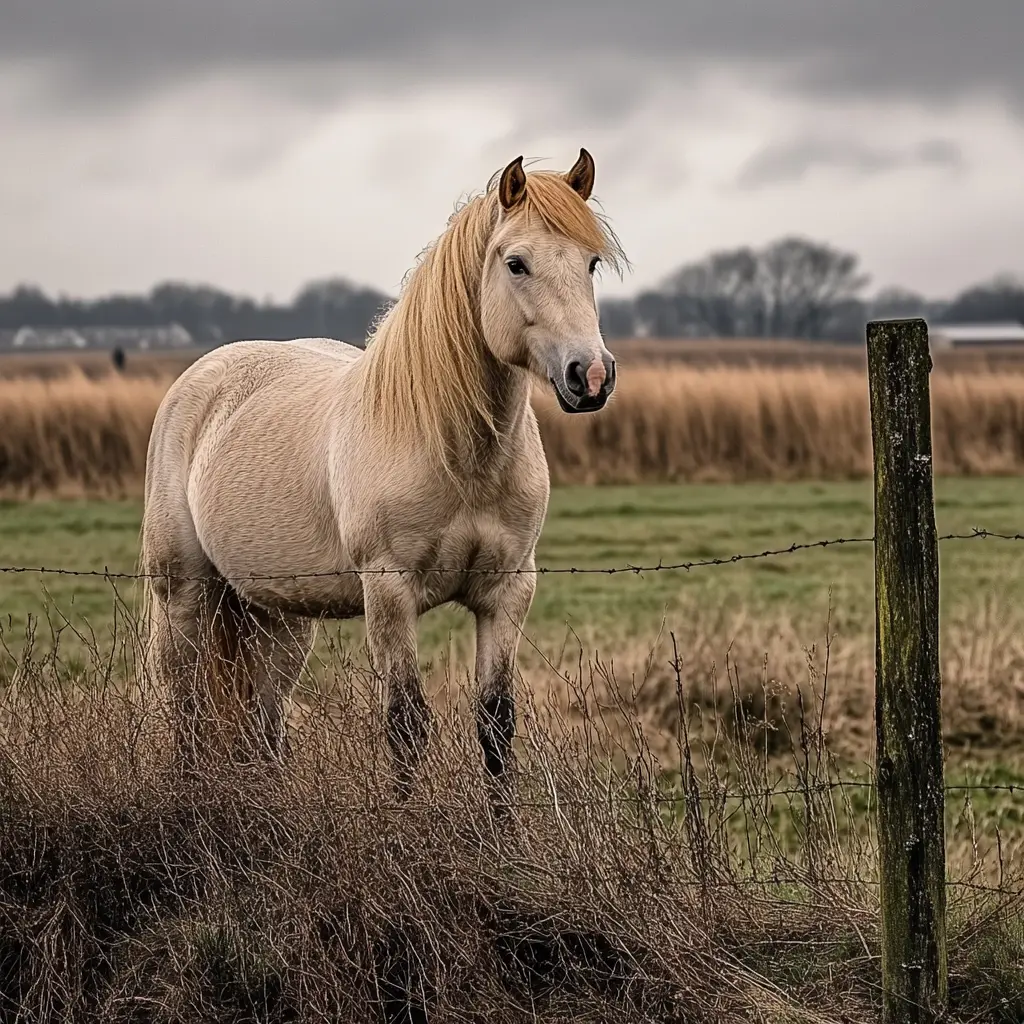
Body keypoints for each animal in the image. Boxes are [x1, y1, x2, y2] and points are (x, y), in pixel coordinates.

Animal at [139, 149, 622, 806]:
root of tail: (201, 377)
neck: (455, 452)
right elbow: (406, 724)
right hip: (184, 597)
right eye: (516, 263)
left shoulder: (508, 592)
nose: (590, 376)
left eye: (591, 262)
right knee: (185, 709)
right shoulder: (390, 594)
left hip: (278, 617)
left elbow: (496, 725)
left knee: (264, 724)